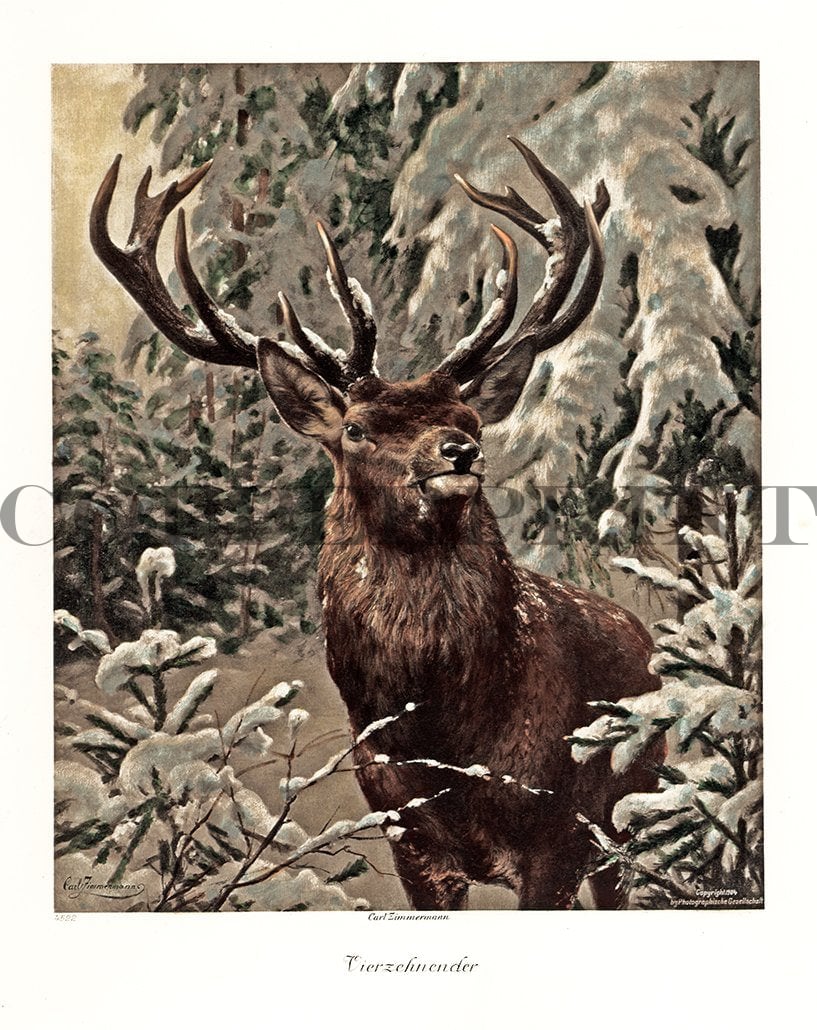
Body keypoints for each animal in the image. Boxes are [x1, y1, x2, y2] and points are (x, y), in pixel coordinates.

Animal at [90, 137, 660, 910]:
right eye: (356, 429)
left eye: (469, 415)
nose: (458, 450)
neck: (446, 737)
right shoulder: (406, 836)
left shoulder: (558, 833)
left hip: (631, 800)